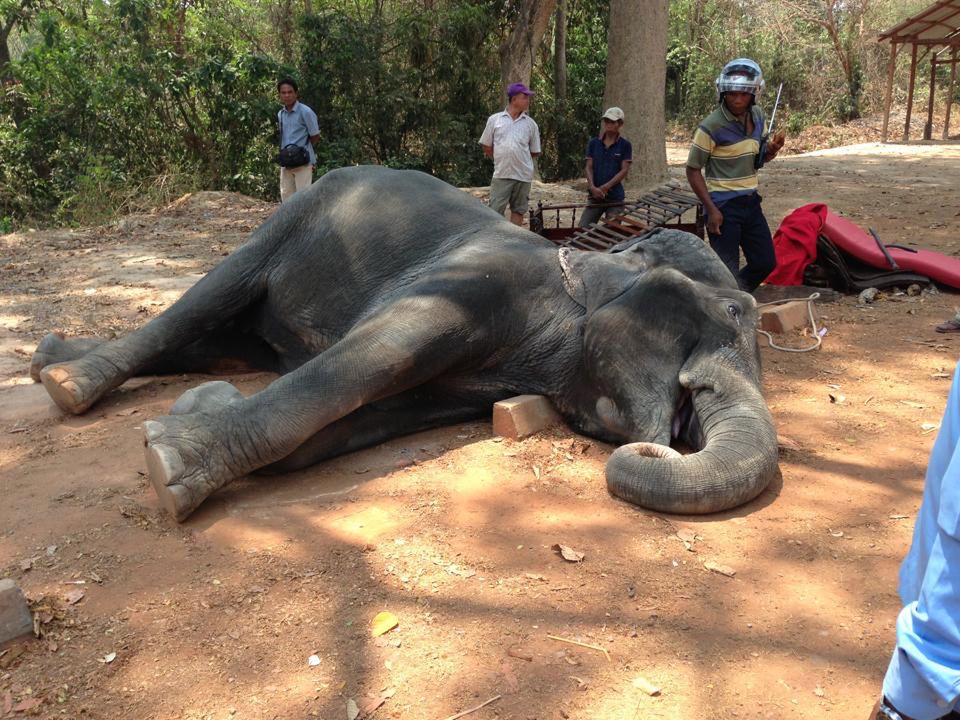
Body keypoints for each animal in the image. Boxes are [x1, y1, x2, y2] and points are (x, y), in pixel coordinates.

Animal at [33, 166, 780, 520]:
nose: (664, 442)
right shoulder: (474, 282)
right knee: (203, 303)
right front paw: (165, 466)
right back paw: (66, 385)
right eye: (730, 311)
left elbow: (358, 421)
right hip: (290, 217)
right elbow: (373, 357)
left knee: (219, 339)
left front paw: (198, 410)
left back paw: (55, 359)